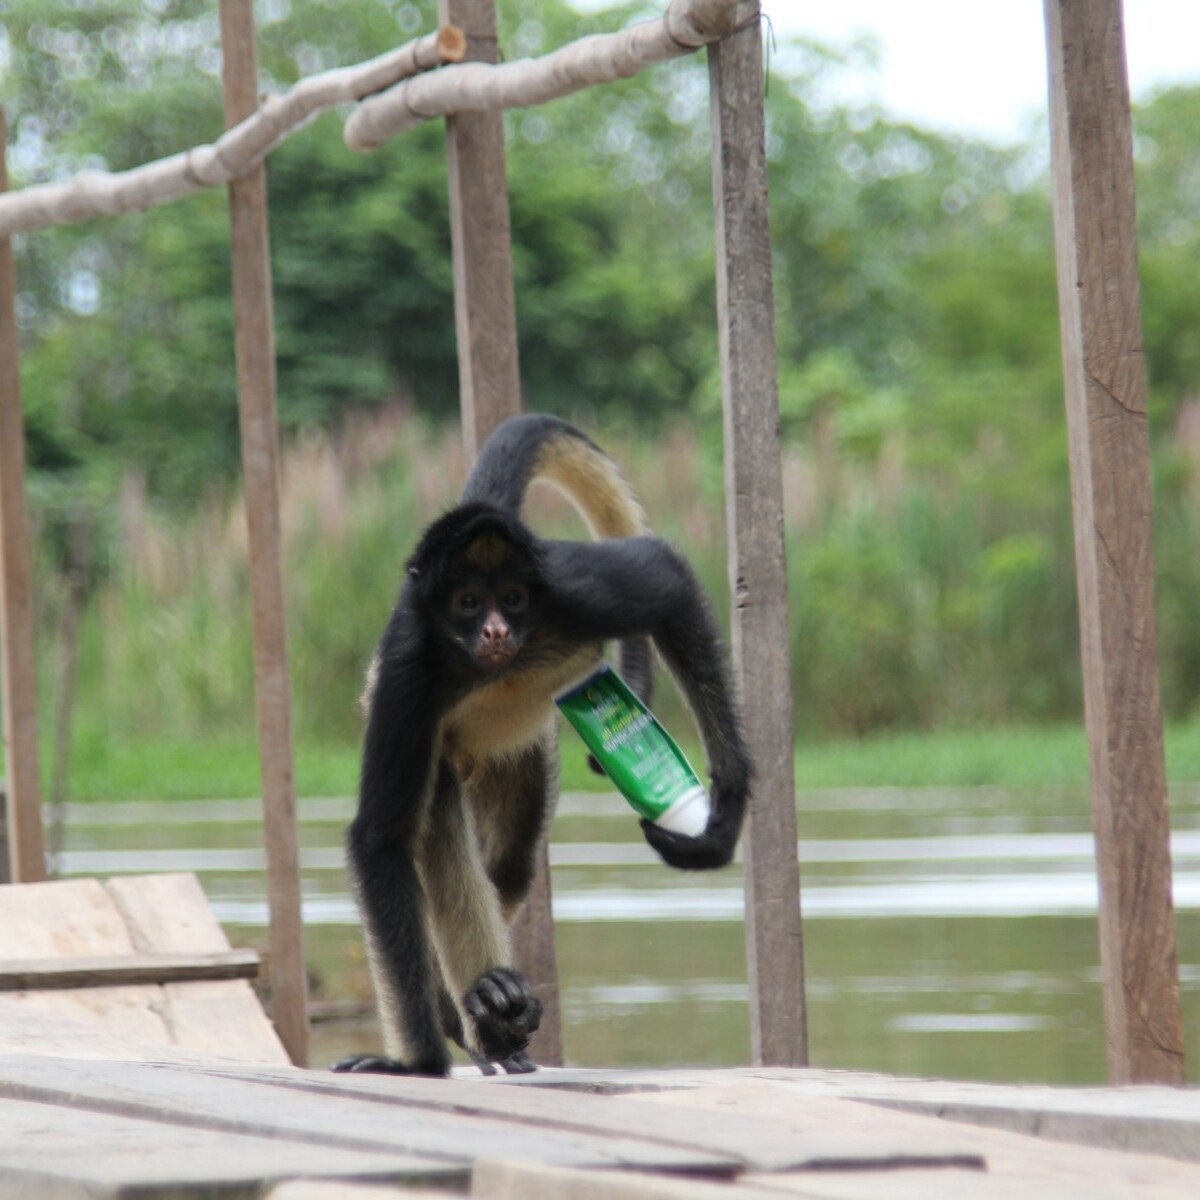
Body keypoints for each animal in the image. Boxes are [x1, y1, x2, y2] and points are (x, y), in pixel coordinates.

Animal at [333, 414, 752, 1078]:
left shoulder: (566, 591)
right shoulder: (407, 674)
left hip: (522, 754)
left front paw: (725, 809)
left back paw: (476, 1007)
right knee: (440, 817)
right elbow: (381, 839)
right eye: (469, 602)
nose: (496, 630)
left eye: (512, 599)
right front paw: (417, 1065)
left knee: (510, 858)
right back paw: (476, 1007)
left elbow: (669, 581)